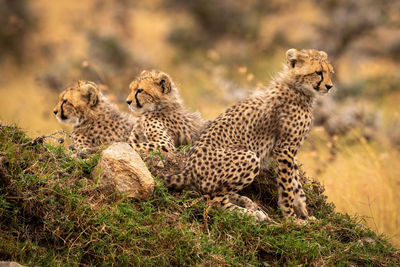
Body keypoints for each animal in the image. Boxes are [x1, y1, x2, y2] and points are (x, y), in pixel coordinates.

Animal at [165, 49, 334, 223]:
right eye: (318, 72)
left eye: (330, 72)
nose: (329, 86)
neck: (298, 88)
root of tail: (188, 168)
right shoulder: (284, 149)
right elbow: (287, 187)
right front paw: (291, 219)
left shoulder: (291, 149)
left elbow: (297, 185)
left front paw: (305, 214)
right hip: (249, 156)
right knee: (212, 201)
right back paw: (250, 214)